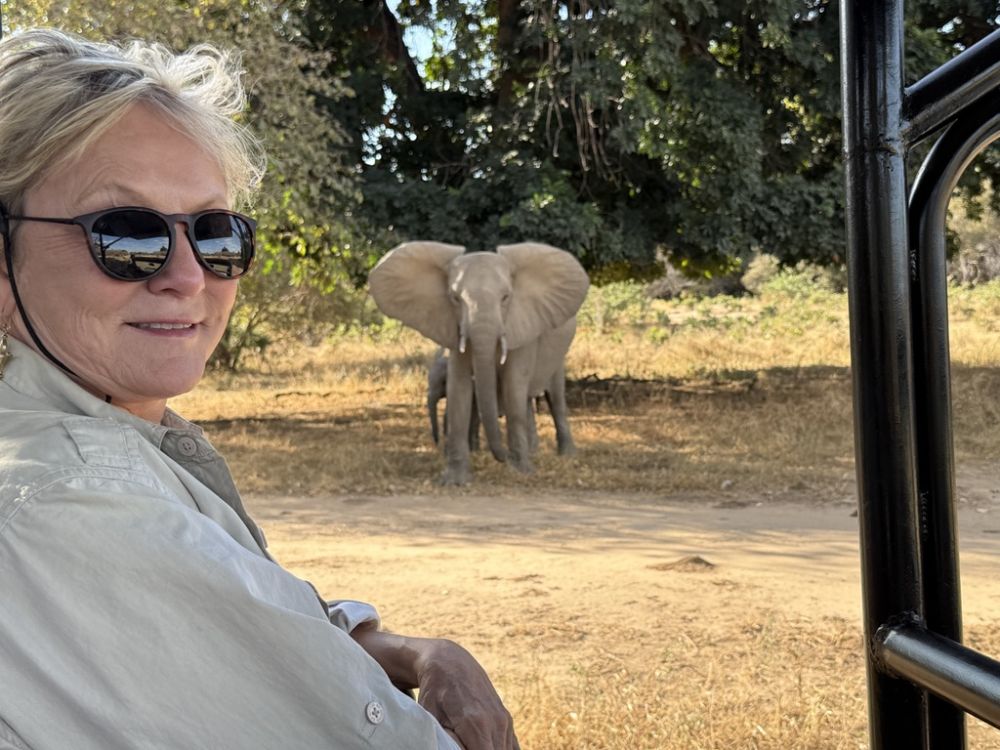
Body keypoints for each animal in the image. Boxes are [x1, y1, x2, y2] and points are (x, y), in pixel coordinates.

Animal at [369, 241, 589, 485]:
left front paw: (521, 472)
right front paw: (455, 480)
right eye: (455, 298)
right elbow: (459, 388)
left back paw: (565, 456)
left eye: (506, 297)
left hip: (559, 354)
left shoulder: (521, 326)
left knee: (555, 398)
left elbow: (513, 385)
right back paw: (533, 452)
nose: (502, 457)